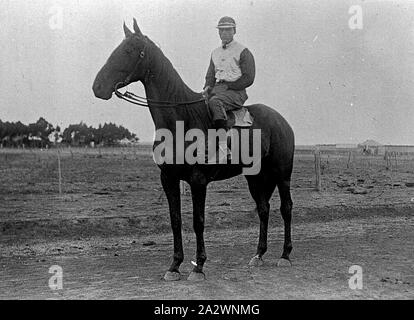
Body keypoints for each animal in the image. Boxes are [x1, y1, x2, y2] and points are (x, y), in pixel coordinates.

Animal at [93, 18, 294, 282]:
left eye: (128, 51)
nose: (97, 87)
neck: (181, 121)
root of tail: (281, 121)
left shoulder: (198, 181)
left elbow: (198, 221)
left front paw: (198, 267)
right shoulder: (168, 179)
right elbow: (175, 220)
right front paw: (174, 266)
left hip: (282, 175)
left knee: (286, 208)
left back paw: (285, 255)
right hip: (255, 178)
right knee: (264, 209)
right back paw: (258, 255)